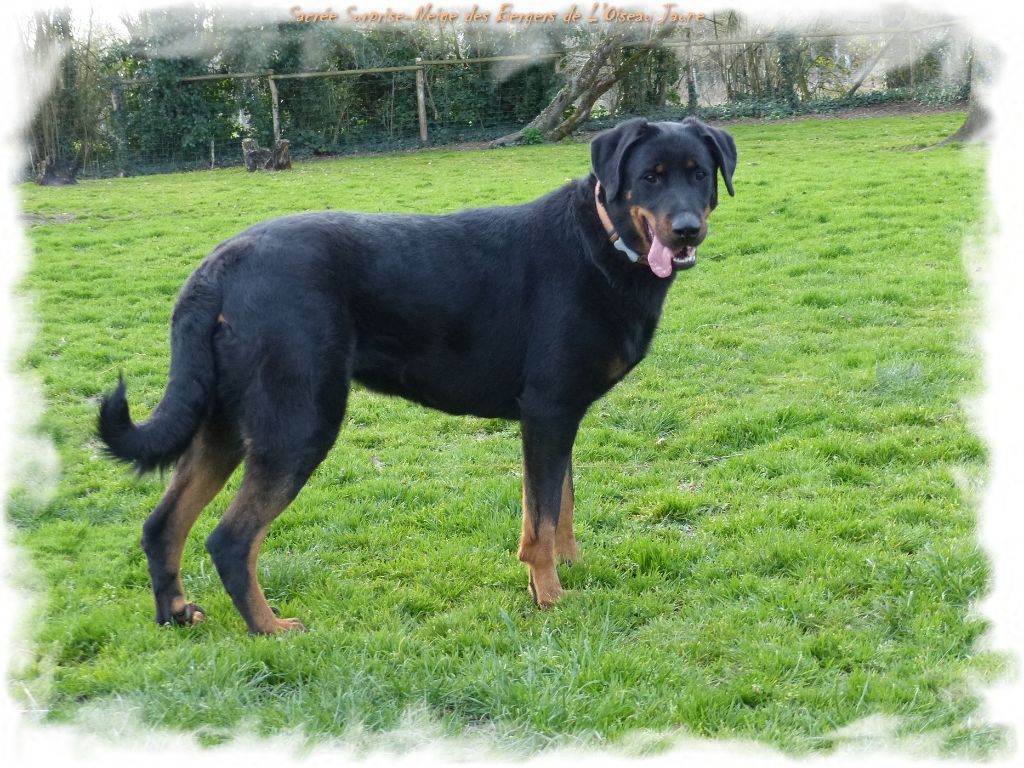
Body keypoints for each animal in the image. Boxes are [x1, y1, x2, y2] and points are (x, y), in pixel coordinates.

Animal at [98, 117, 737, 634]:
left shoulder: (559, 417)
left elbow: (558, 507)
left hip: (226, 424)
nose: (686, 229)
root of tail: (218, 266)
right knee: (231, 540)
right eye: (650, 177)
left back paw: (175, 614)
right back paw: (270, 628)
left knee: (162, 526)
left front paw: (568, 569)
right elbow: (542, 520)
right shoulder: (548, 411)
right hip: (299, 424)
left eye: (699, 174)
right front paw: (551, 598)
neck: (603, 241)